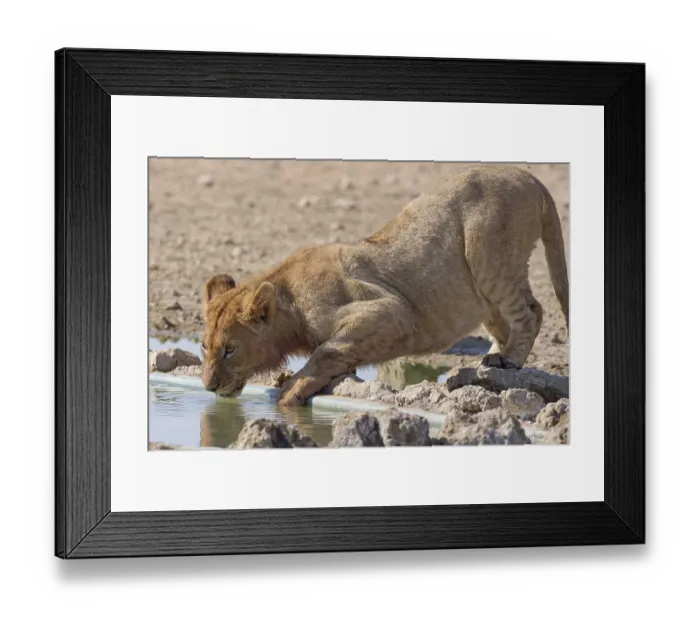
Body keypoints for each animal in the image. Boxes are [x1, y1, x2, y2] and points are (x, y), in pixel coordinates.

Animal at [200, 165, 569, 406]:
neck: (288, 300)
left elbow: (327, 349)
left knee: (532, 311)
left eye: (230, 349)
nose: (207, 386)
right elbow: (338, 351)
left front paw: (291, 388)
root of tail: (529, 177)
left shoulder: (392, 311)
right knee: (503, 324)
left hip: (489, 257)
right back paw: (492, 358)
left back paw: (509, 361)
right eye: (204, 347)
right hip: (481, 289)